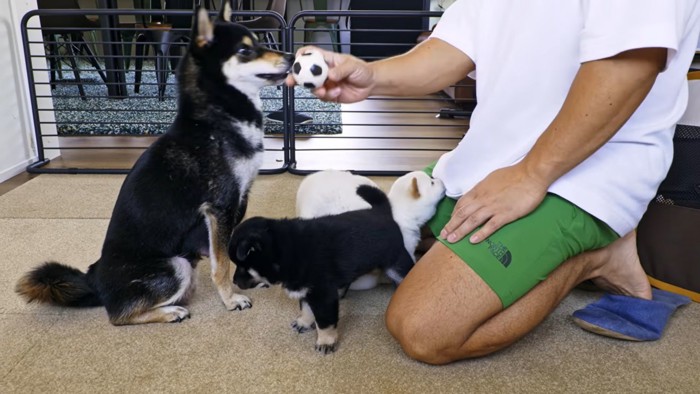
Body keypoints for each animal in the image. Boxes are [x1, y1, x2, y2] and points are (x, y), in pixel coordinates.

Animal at [15, 1, 296, 324]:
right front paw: (231, 299)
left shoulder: (238, 198)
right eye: (245, 50)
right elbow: (222, 263)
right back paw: (171, 312)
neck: (217, 121)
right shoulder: (220, 207)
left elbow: (227, 253)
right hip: (176, 266)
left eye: (261, 42)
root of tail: (93, 279)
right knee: (119, 315)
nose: (292, 56)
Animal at [230, 185, 416, 354]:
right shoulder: (305, 289)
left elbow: (325, 323)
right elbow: (306, 309)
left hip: (395, 262)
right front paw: (304, 323)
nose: (234, 281)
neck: (285, 251)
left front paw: (326, 341)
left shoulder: (322, 294)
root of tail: (382, 211)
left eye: (242, 266)